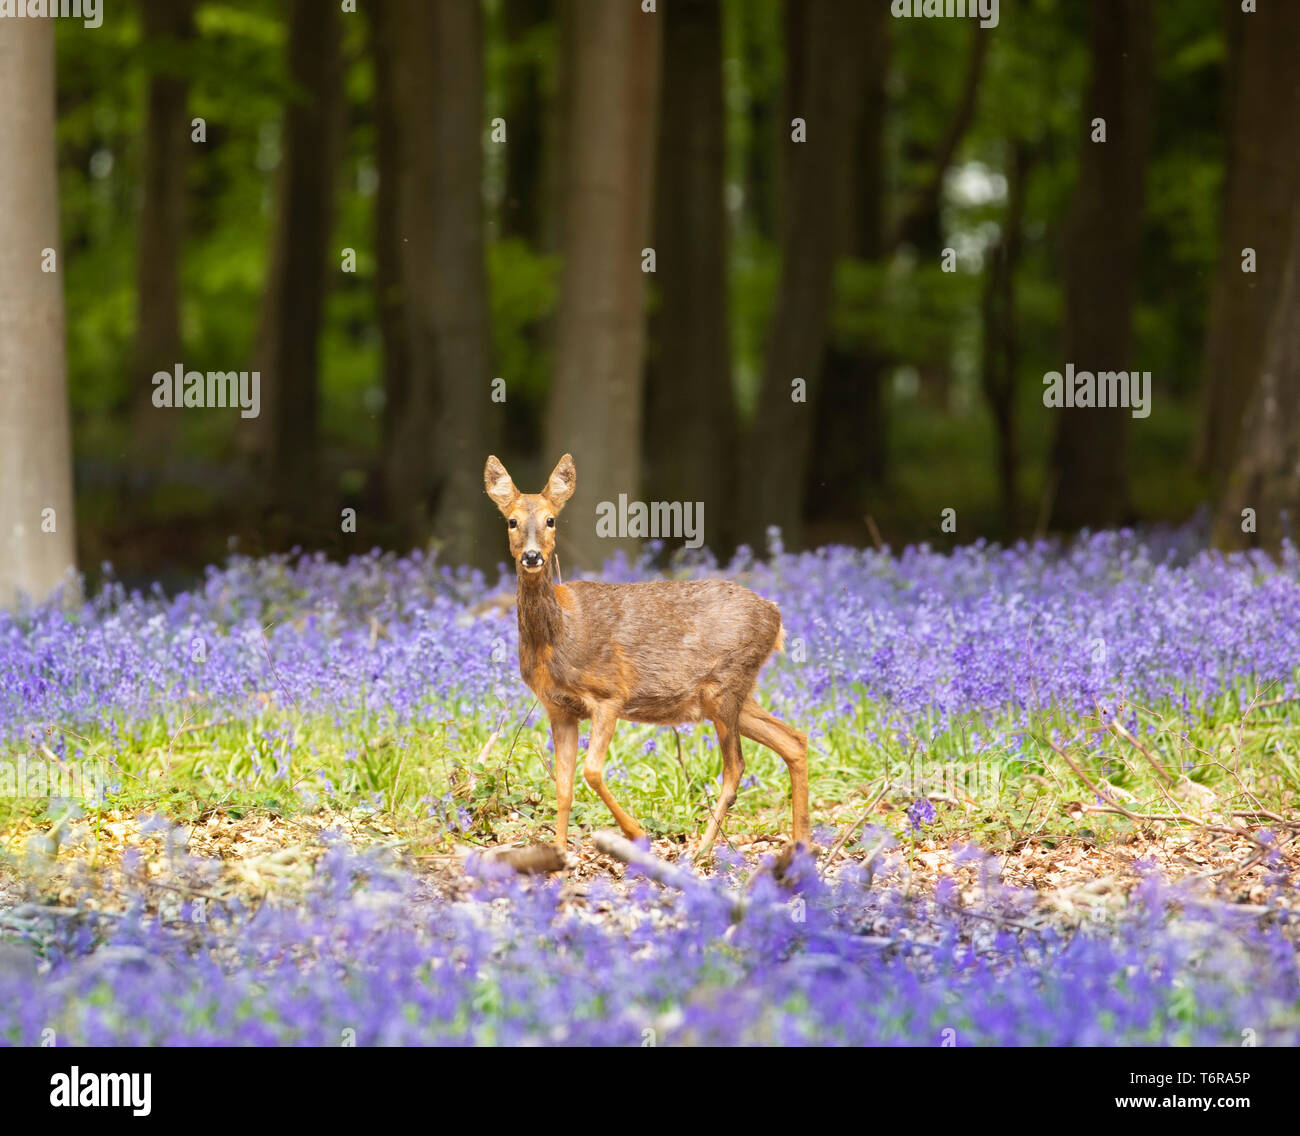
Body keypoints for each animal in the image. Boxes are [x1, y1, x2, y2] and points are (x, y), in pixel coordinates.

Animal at [483, 454, 806, 852]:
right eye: (511, 520)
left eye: (550, 519)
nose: (531, 556)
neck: (557, 638)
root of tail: (776, 617)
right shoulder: (558, 709)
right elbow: (563, 786)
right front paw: (558, 850)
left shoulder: (610, 693)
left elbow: (591, 771)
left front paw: (637, 833)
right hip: (730, 694)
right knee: (794, 741)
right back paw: (803, 841)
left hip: (726, 684)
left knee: (736, 768)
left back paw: (703, 850)